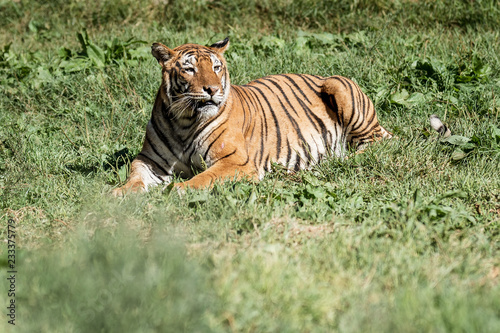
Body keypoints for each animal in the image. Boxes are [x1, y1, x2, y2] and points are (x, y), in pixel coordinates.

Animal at [111, 36, 396, 196]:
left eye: (216, 67)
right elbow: (134, 177)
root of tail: (319, 74)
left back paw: (338, 160)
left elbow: (203, 177)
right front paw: (117, 194)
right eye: (190, 69)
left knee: (380, 142)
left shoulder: (235, 162)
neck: (184, 121)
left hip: (338, 86)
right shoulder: (151, 161)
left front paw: (177, 189)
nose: (212, 89)